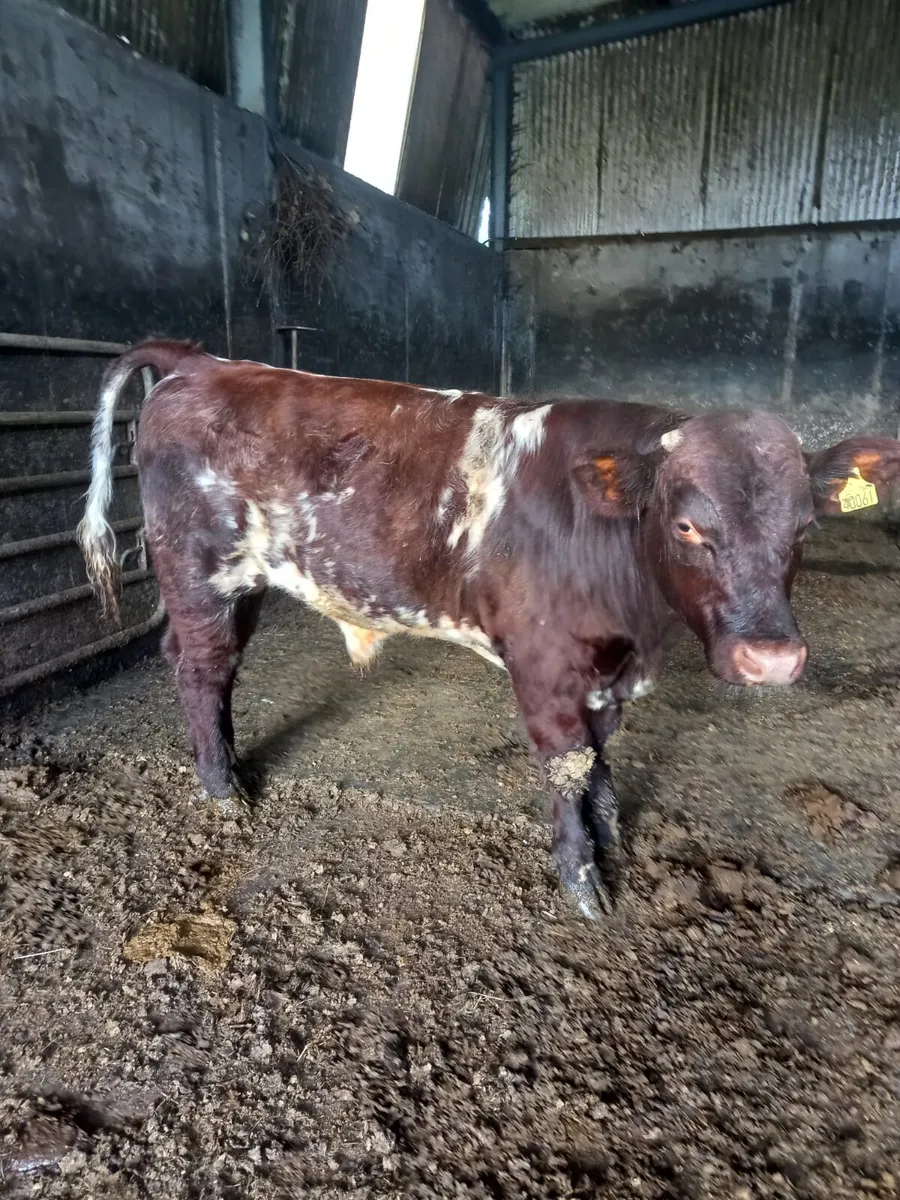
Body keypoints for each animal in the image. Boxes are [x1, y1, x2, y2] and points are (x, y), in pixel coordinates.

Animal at [76, 340, 900, 918]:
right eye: (689, 526)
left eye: (804, 529)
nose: (771, 657)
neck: (637, 625)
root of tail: (203, 362)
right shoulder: (544, 664)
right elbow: (567, 765)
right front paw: (584, 881)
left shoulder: (604, 669)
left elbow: (599, 757)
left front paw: (612, 833)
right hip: (202, 573)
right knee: (203, 668)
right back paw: (223, 792)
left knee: (197, 660)